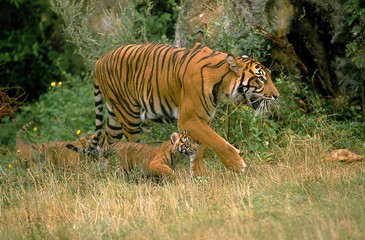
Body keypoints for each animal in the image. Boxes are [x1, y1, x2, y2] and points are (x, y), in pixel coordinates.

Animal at [87, 42, 278, 175]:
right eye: (261, 78)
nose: (277, 96)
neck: (222, 83)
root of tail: (99, 60)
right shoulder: (189, 119)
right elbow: (217, 141)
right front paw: (237, 165)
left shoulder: (202, 119)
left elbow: (201, 146)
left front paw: (199, 174)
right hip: (128, 114)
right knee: (127, 144)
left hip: (115, 115)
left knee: (105, 143)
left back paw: (104, 174)